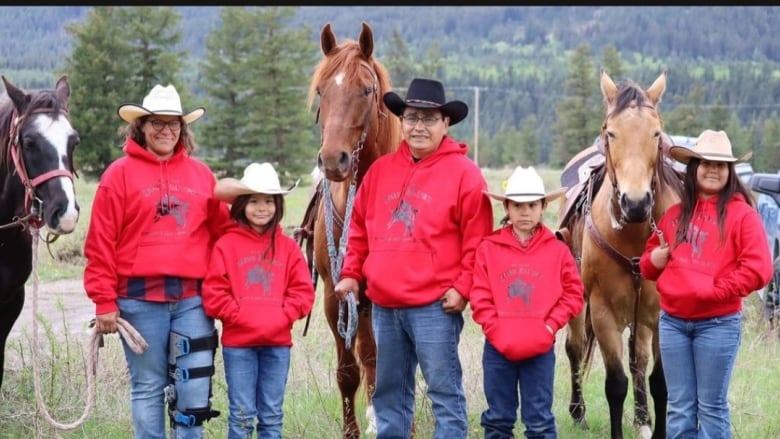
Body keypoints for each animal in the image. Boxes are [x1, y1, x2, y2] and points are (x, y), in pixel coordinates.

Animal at [556, 70, 684, 438]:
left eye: (656, 133)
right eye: (611, 132)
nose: (636, 203)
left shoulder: (660, 313)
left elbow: (660, 382)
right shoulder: (602, 310)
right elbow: (615, 384)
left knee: (638, 359)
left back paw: (641, 419)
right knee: (574, 347)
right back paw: (578, 413)